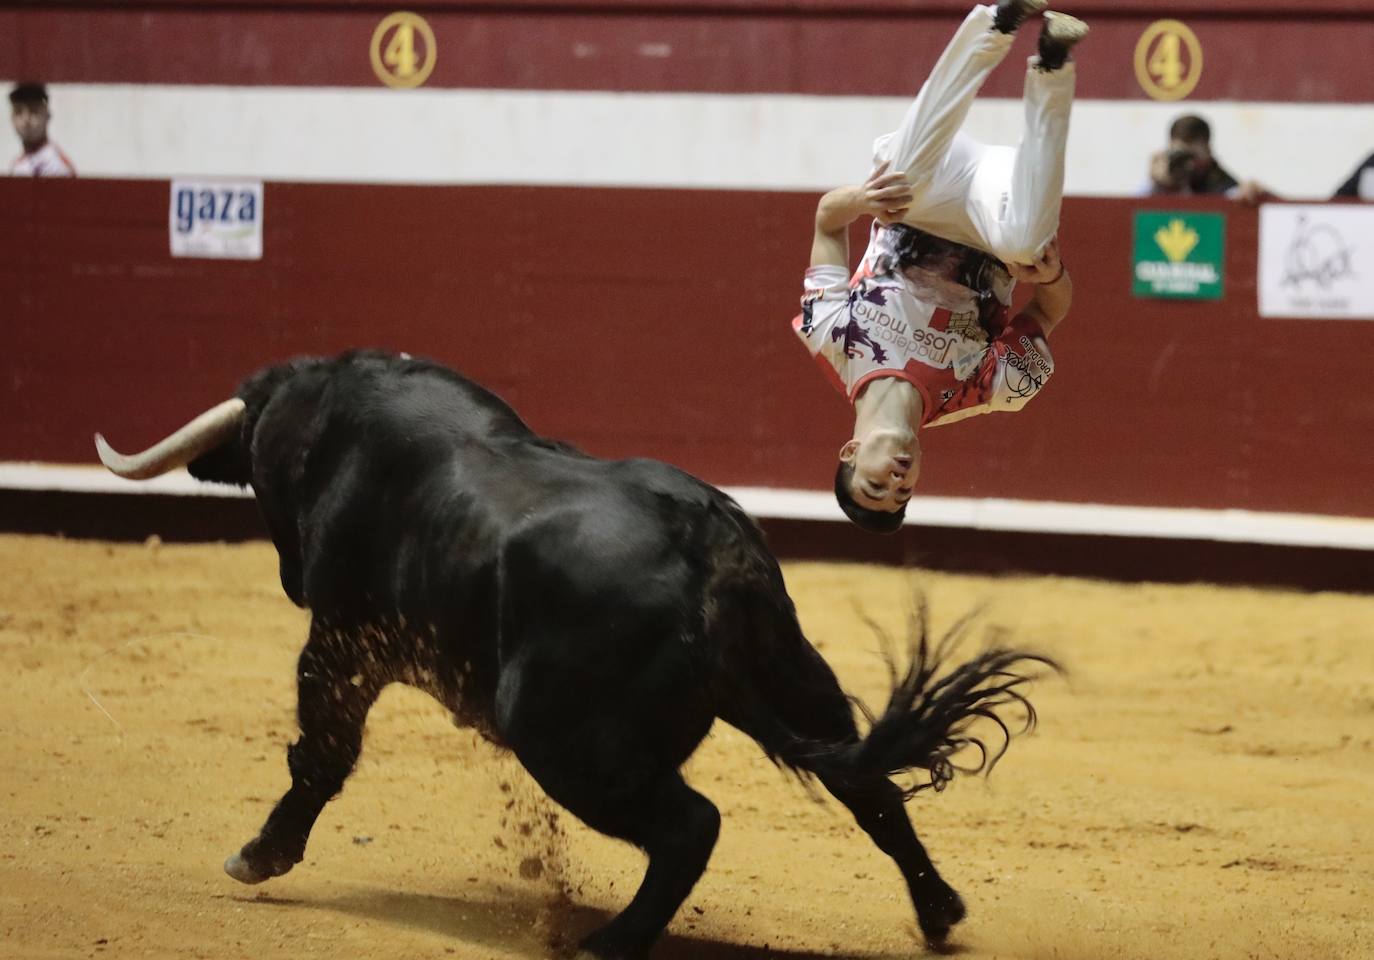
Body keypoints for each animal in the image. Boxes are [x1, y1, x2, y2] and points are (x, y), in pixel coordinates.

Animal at [99, 354, 1049, 960]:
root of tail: (710, 550)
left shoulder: (340, 642)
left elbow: (319, 754)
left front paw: (258, 857)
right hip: (794, 676)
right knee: (869, 787)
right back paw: (939, 913)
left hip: (566, 741)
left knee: (691, 824)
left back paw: (611, 942)